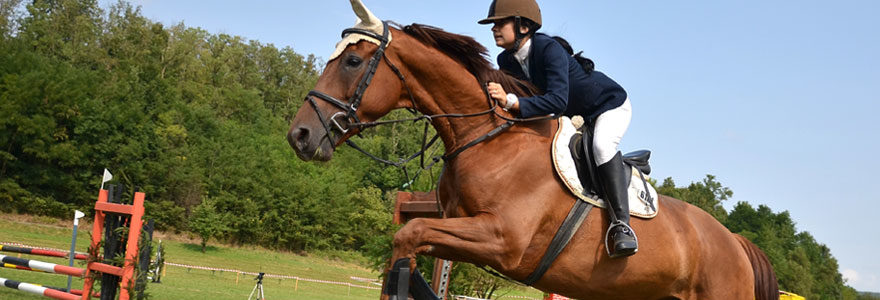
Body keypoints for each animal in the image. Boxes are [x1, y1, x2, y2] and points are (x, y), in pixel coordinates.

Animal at [288, 2, 776, 300]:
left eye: (353, 61)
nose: (300, 136)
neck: (486, 138)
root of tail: (735, 242)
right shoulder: (462, 232)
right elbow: (410, 241)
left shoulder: (501, 239)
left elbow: (408, 234)